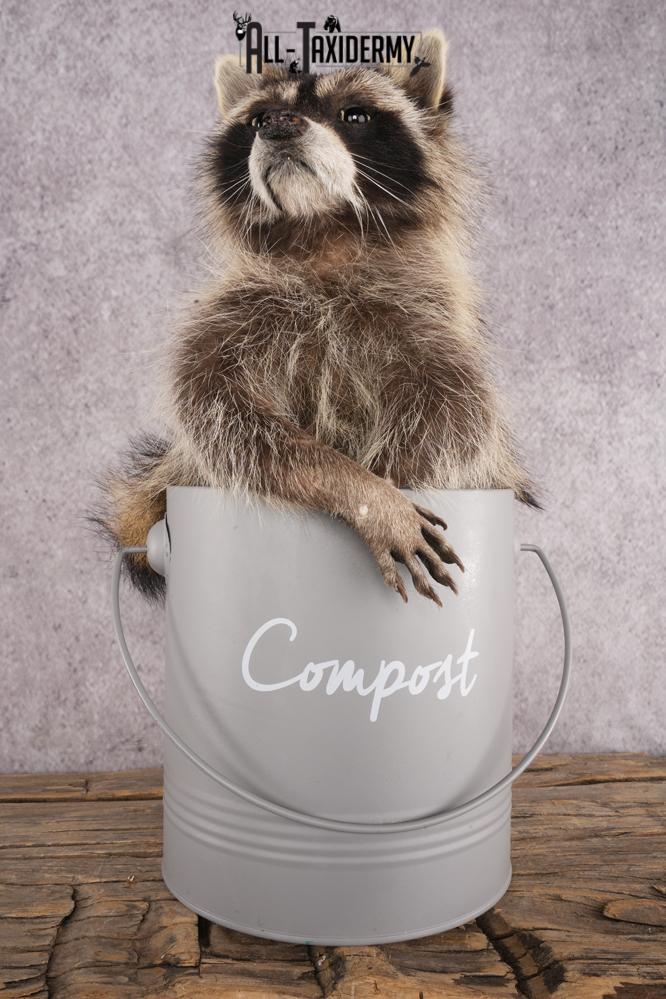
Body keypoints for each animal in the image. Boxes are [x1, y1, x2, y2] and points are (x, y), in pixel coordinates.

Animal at [96, 29, 536, 606]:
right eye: (259, 118)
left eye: (355, 114)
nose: (280, 126)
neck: (322, 231)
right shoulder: (229, 316)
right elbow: (230, 421)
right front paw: (360, 489)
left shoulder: (431, 320)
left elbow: (453, 422)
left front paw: (389, 478)